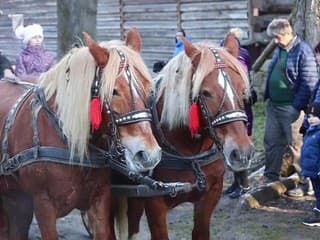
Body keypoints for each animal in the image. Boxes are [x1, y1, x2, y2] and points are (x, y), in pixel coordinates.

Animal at [112, 32, 255, 239]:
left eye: (243, 88)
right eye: (205, 92)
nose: (242, 152)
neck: (189, 153)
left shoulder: (210, 195)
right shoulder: (153, 201)